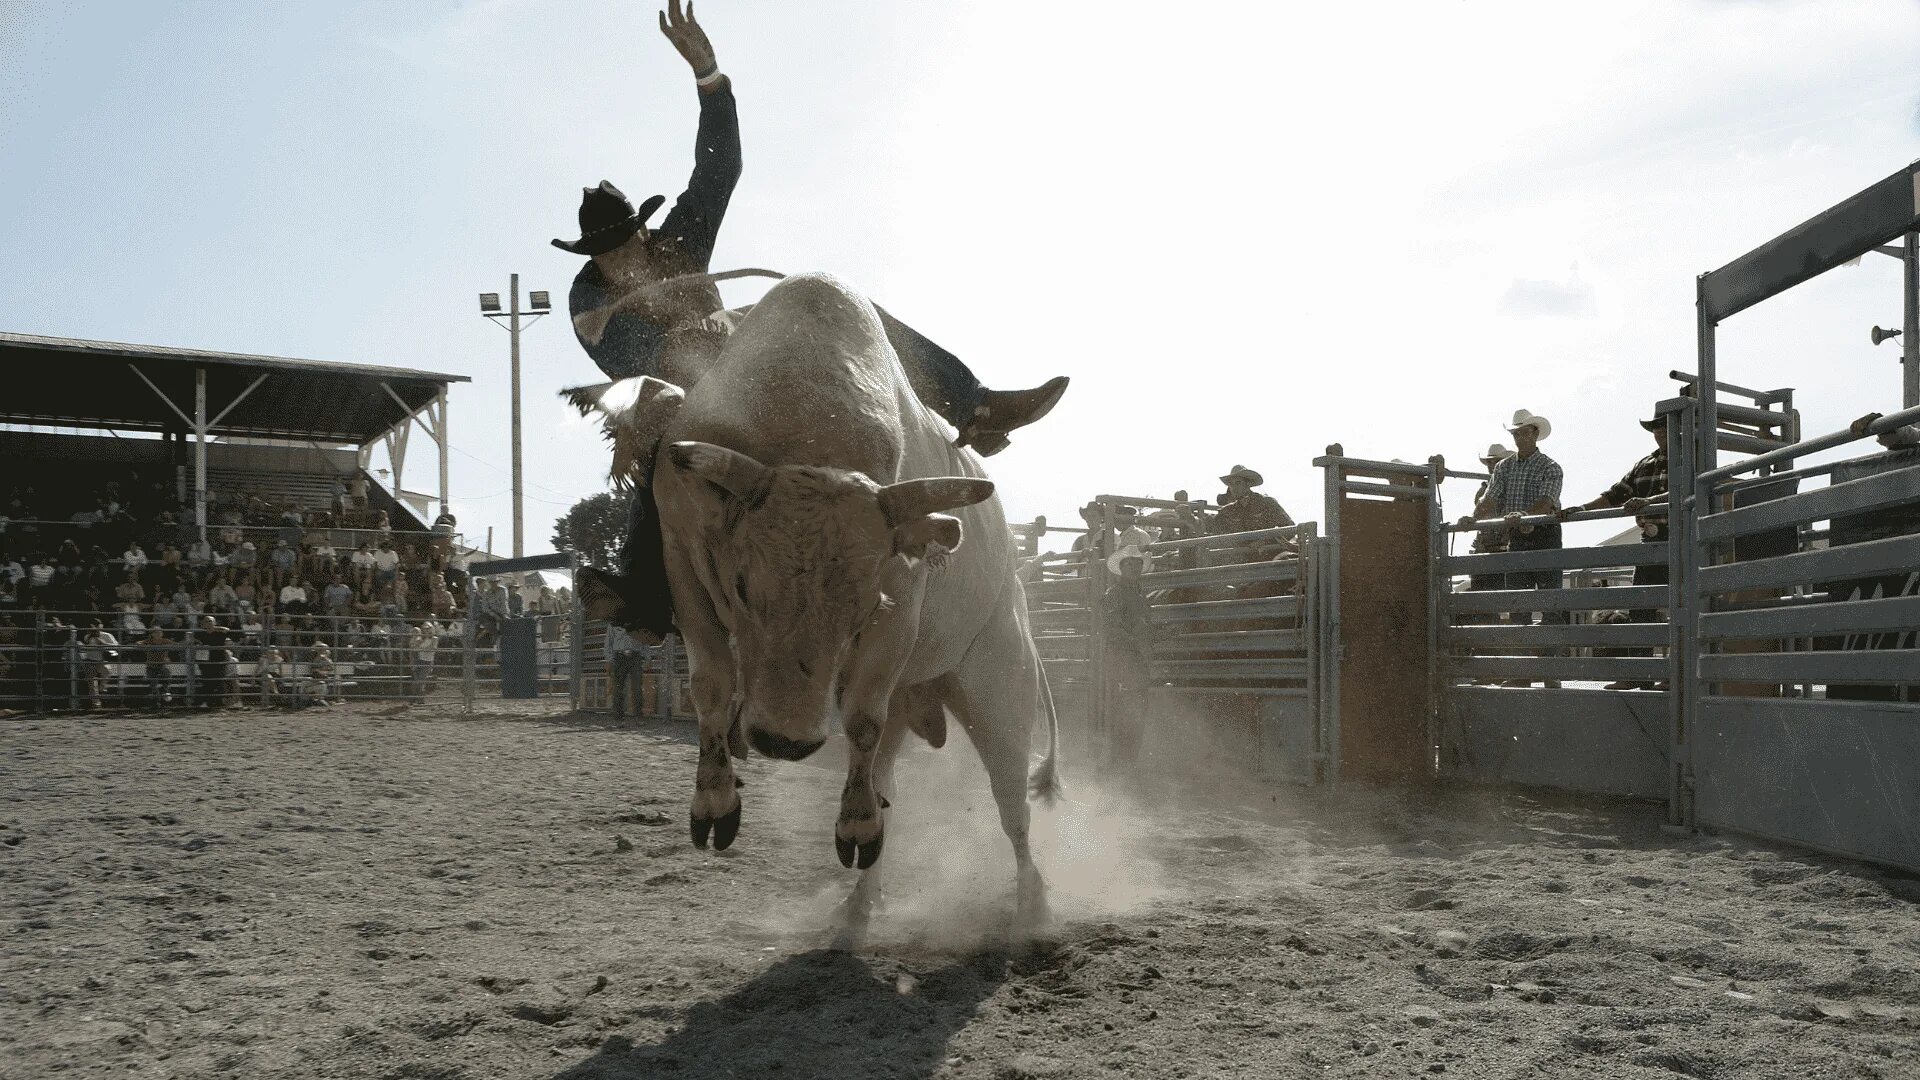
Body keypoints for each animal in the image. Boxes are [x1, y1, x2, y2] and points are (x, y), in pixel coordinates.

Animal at [568, 269, 1067, 926]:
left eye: (866, 606)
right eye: (742, 586)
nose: (784, 742)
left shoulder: (899, 601)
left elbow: (859, 717)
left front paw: (852, 829)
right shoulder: (683, 558)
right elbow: (712, 685)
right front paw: (714, 803)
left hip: (1000, 689)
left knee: (1012, 809)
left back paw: (1030, 901)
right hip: (925, 706)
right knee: (887, 781)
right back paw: (860, 904)